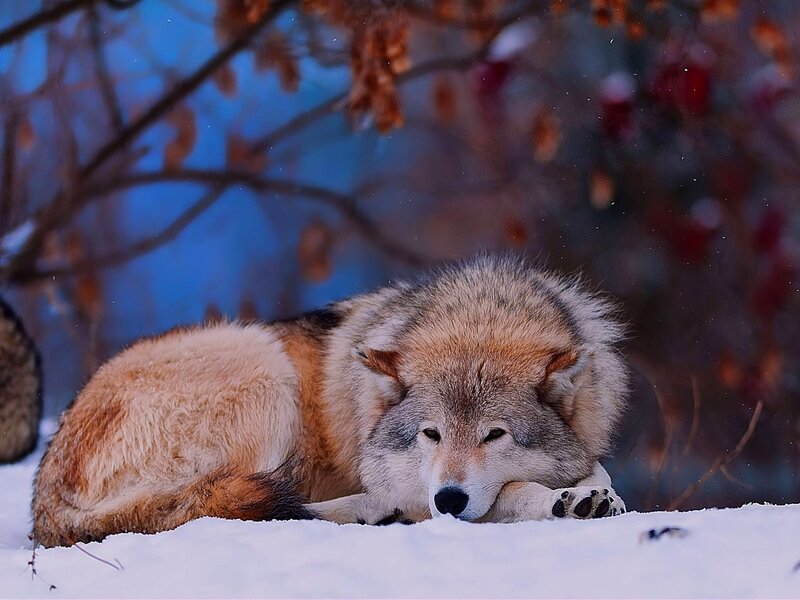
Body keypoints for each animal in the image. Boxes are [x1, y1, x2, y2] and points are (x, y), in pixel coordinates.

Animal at [32, 255, 628, 547]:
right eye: (430, 434)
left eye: (494, 434)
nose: (449, 498)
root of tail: (44, 496)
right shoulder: (419, 485)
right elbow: (509, 493)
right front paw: (563, 501)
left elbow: (595, 466)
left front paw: (594, 493)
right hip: (264, 369)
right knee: (246, 508)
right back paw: (376, 513)